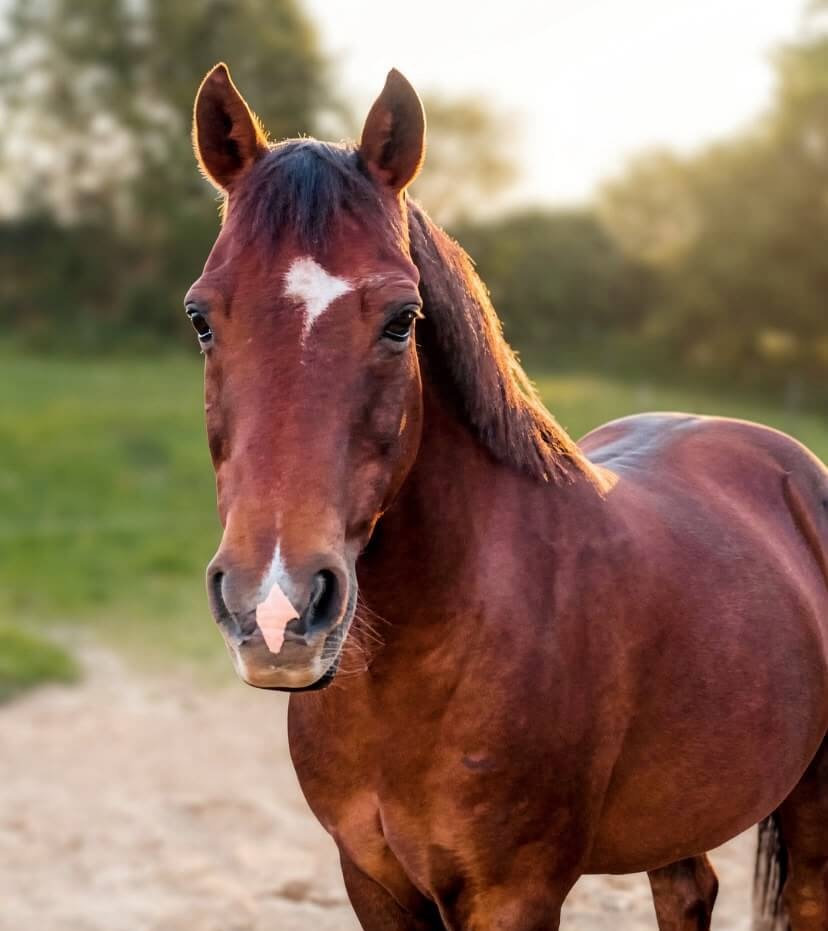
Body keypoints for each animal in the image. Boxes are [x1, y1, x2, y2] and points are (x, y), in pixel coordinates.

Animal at [185, 63, 828, 931]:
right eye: (200, 317)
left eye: (401, 319)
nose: (278, 610)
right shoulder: (371, 880)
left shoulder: (514, 893)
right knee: (687, 889)